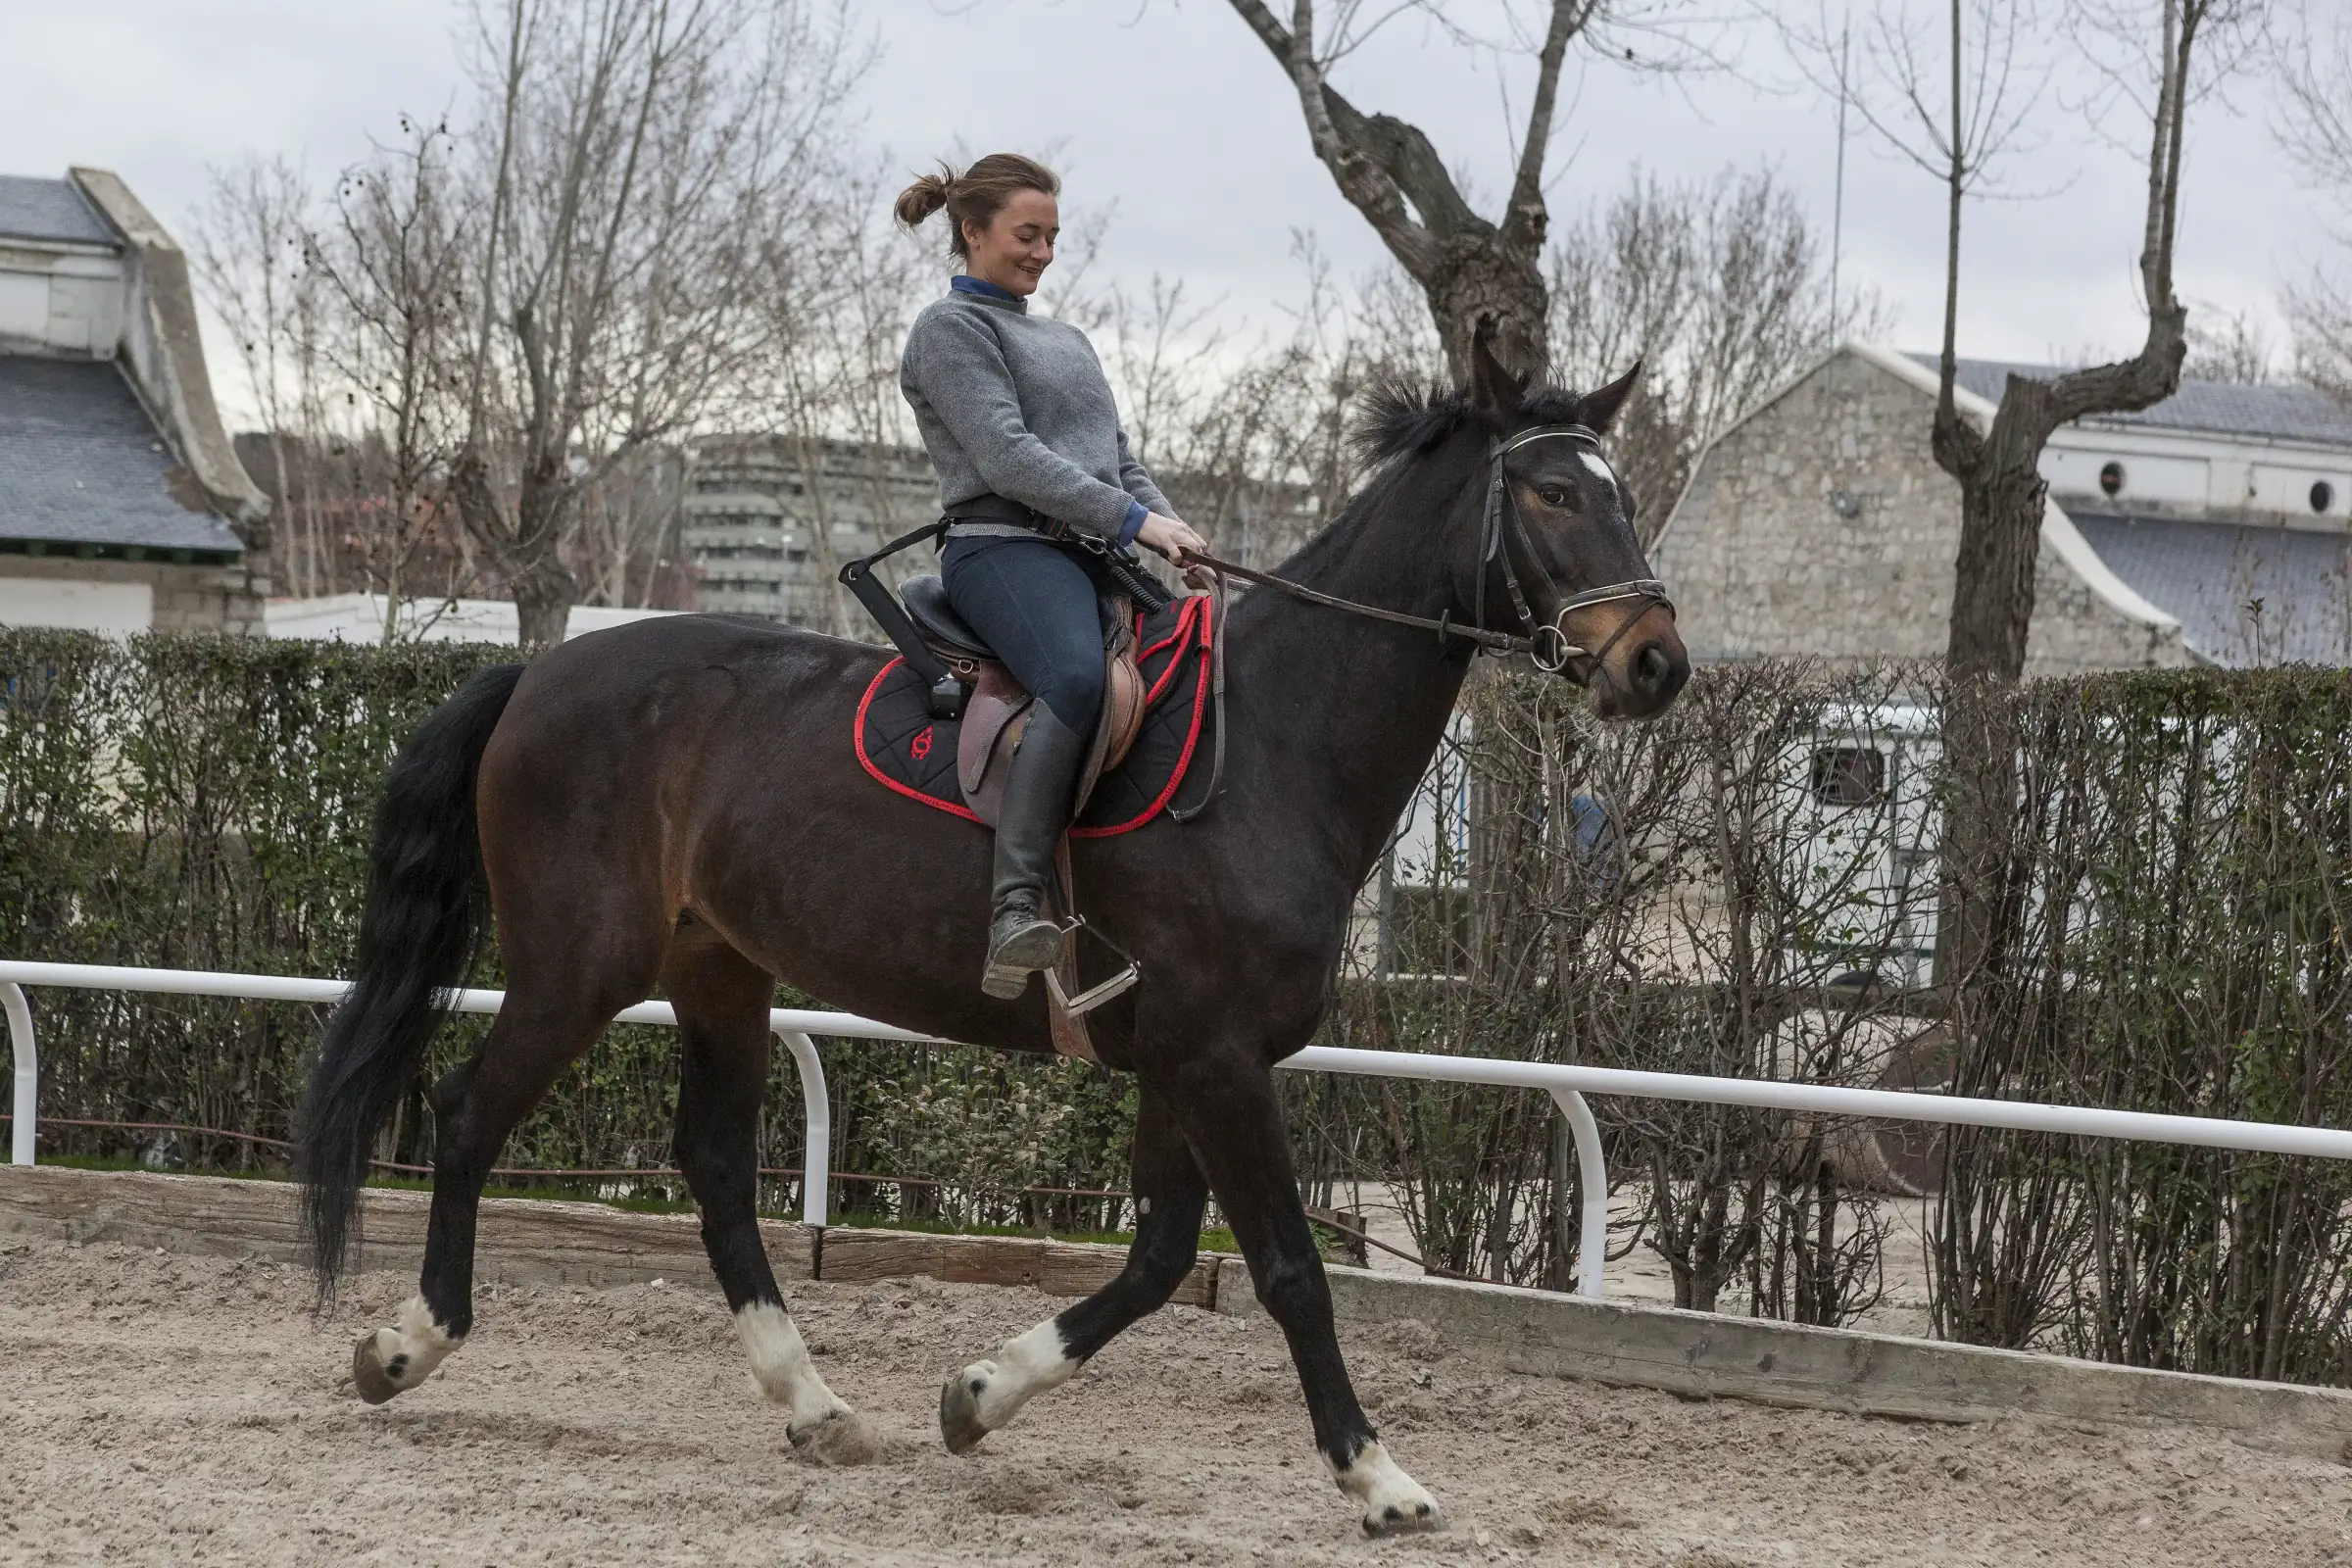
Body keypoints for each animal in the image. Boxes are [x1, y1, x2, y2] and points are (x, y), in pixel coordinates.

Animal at [294, 327, 1689, 1537]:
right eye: (1554, 492)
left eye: (1623, 495)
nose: (1657, 665)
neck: (1274, 744)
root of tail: (540, 673)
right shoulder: (1219, 1059)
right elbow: (1291, 1268)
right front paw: (1377, 1475)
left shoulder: (1179, 1058)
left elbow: (1161, 1256)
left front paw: (977, 1396)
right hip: (580, 965)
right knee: (469, 1115)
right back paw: (407, 1345)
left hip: (719, 970)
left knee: (715, 1166)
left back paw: (814, 1405)